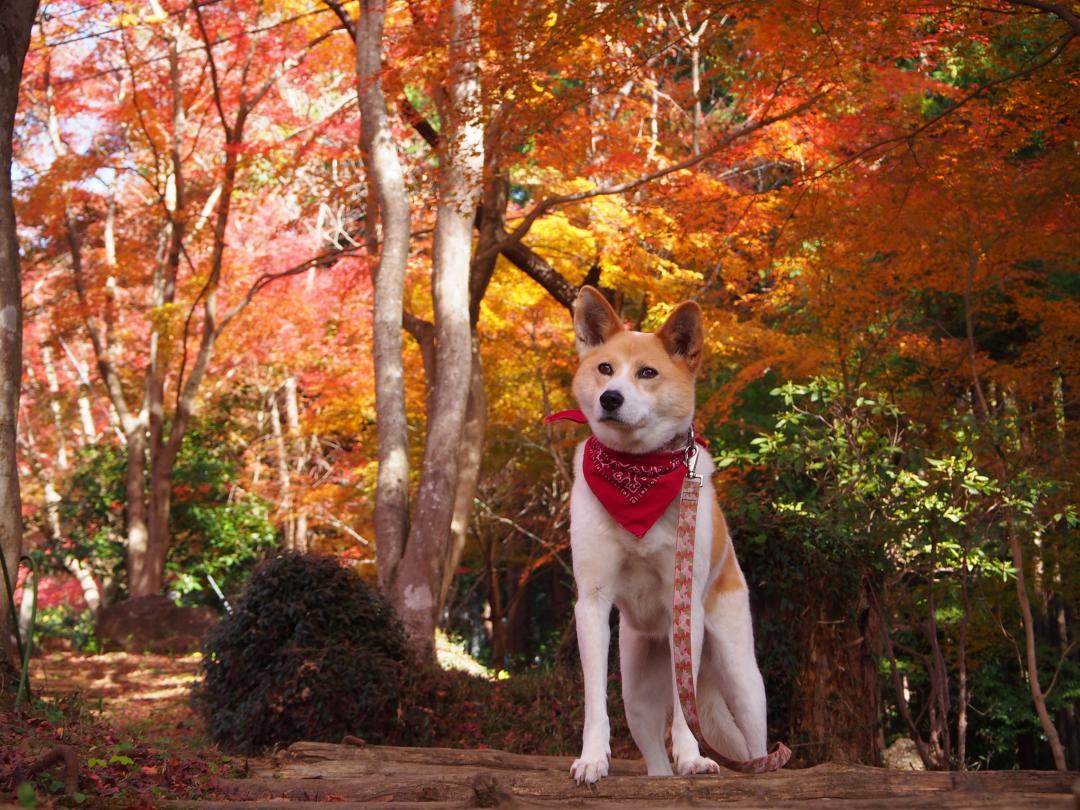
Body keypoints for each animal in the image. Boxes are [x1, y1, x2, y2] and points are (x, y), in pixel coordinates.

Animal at [557, 289, 768, 781]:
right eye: (605, 368)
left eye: (647, 373)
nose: (611, 398)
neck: (637, 475)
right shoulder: (592, 602)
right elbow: (595, 702)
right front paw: (592, 758)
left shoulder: (682, 605)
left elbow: (682, 711)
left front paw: (692, 757)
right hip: (636, 692)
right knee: (654, 752)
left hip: (742, 678)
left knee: (751, 737)